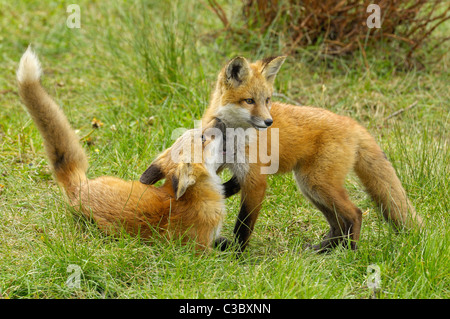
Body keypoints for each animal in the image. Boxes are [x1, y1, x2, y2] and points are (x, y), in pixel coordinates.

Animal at [200, 55, 422, 252]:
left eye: (267, 100)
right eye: (249, 101)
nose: (269, 122)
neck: (232, 137)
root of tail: (351, 122)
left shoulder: (255, 180)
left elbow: (244, 226)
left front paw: (238, 255)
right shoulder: (223, 167)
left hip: (316, 182)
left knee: (355, 214)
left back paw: (350, 253)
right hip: (311, 188)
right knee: (338, 224)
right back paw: (323, 250)